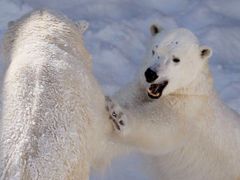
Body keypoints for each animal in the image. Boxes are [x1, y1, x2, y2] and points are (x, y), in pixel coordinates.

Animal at [106, 25, 240, 180]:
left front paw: (119, 117)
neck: (189, 90)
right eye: (154, 50)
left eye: (176, 59)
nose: (150, 74)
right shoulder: (141, 90)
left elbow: (158, 127)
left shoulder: (186, 112)